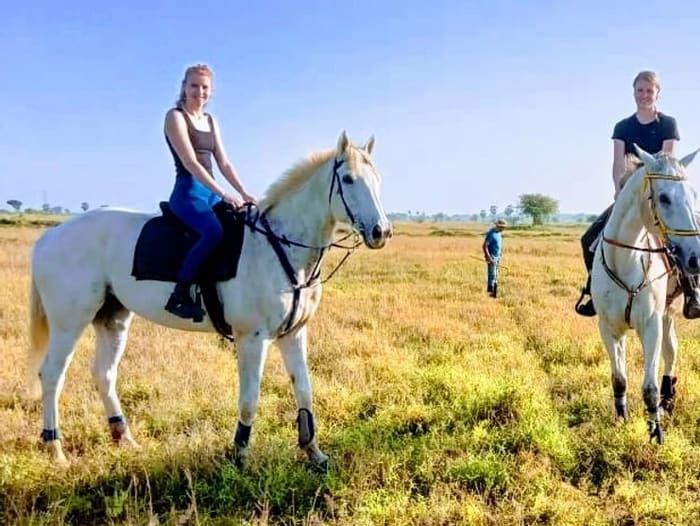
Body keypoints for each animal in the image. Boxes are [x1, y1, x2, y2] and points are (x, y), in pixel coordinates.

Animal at [27, 131, 392, 467]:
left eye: (378, 179)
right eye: (348, 179)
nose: (382, 231)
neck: (278, 244)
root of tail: (50, 236)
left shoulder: (293, 334)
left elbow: (304, 391)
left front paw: (314, 453)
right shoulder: (251, 338)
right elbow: (250, 400)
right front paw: (240, 456)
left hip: (112, 319)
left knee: (104, 374)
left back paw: (124, 437)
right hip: (69, 323)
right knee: (52, 375)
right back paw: (55, 449)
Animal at [591, 145, 700, 443]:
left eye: (693, 195)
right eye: (663, 197)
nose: (696, 258)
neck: (626, 258)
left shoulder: (650, 325)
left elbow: (649, 387)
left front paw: (656, 432)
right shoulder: (609, 328)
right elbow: (619, 378)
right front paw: (621, 419)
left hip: (666, 314)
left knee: (670, 353)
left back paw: (667, 402)